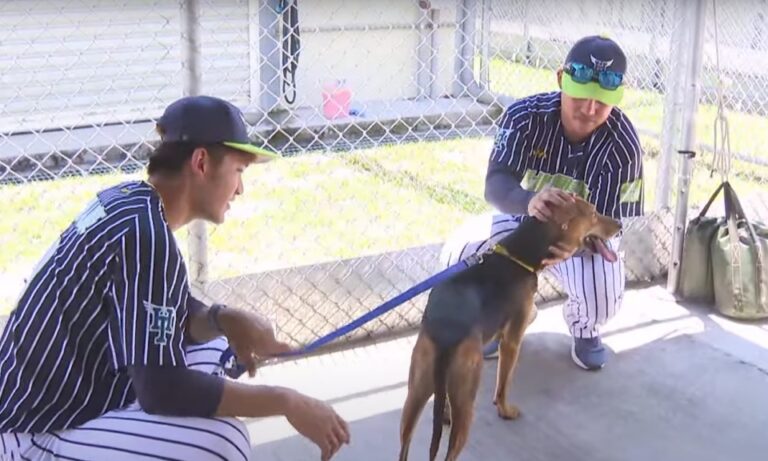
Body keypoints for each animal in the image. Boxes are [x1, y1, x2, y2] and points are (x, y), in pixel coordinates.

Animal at [398, 197, 622, 461]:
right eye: (594, 214)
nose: (620, 224)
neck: (521, 252)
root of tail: (447, 332)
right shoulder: (512, 339)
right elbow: (503, 384)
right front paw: (505, 410)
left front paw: (445, 414)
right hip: (466, 397)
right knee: (450, 452)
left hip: (415, 393)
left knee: (405, 445)